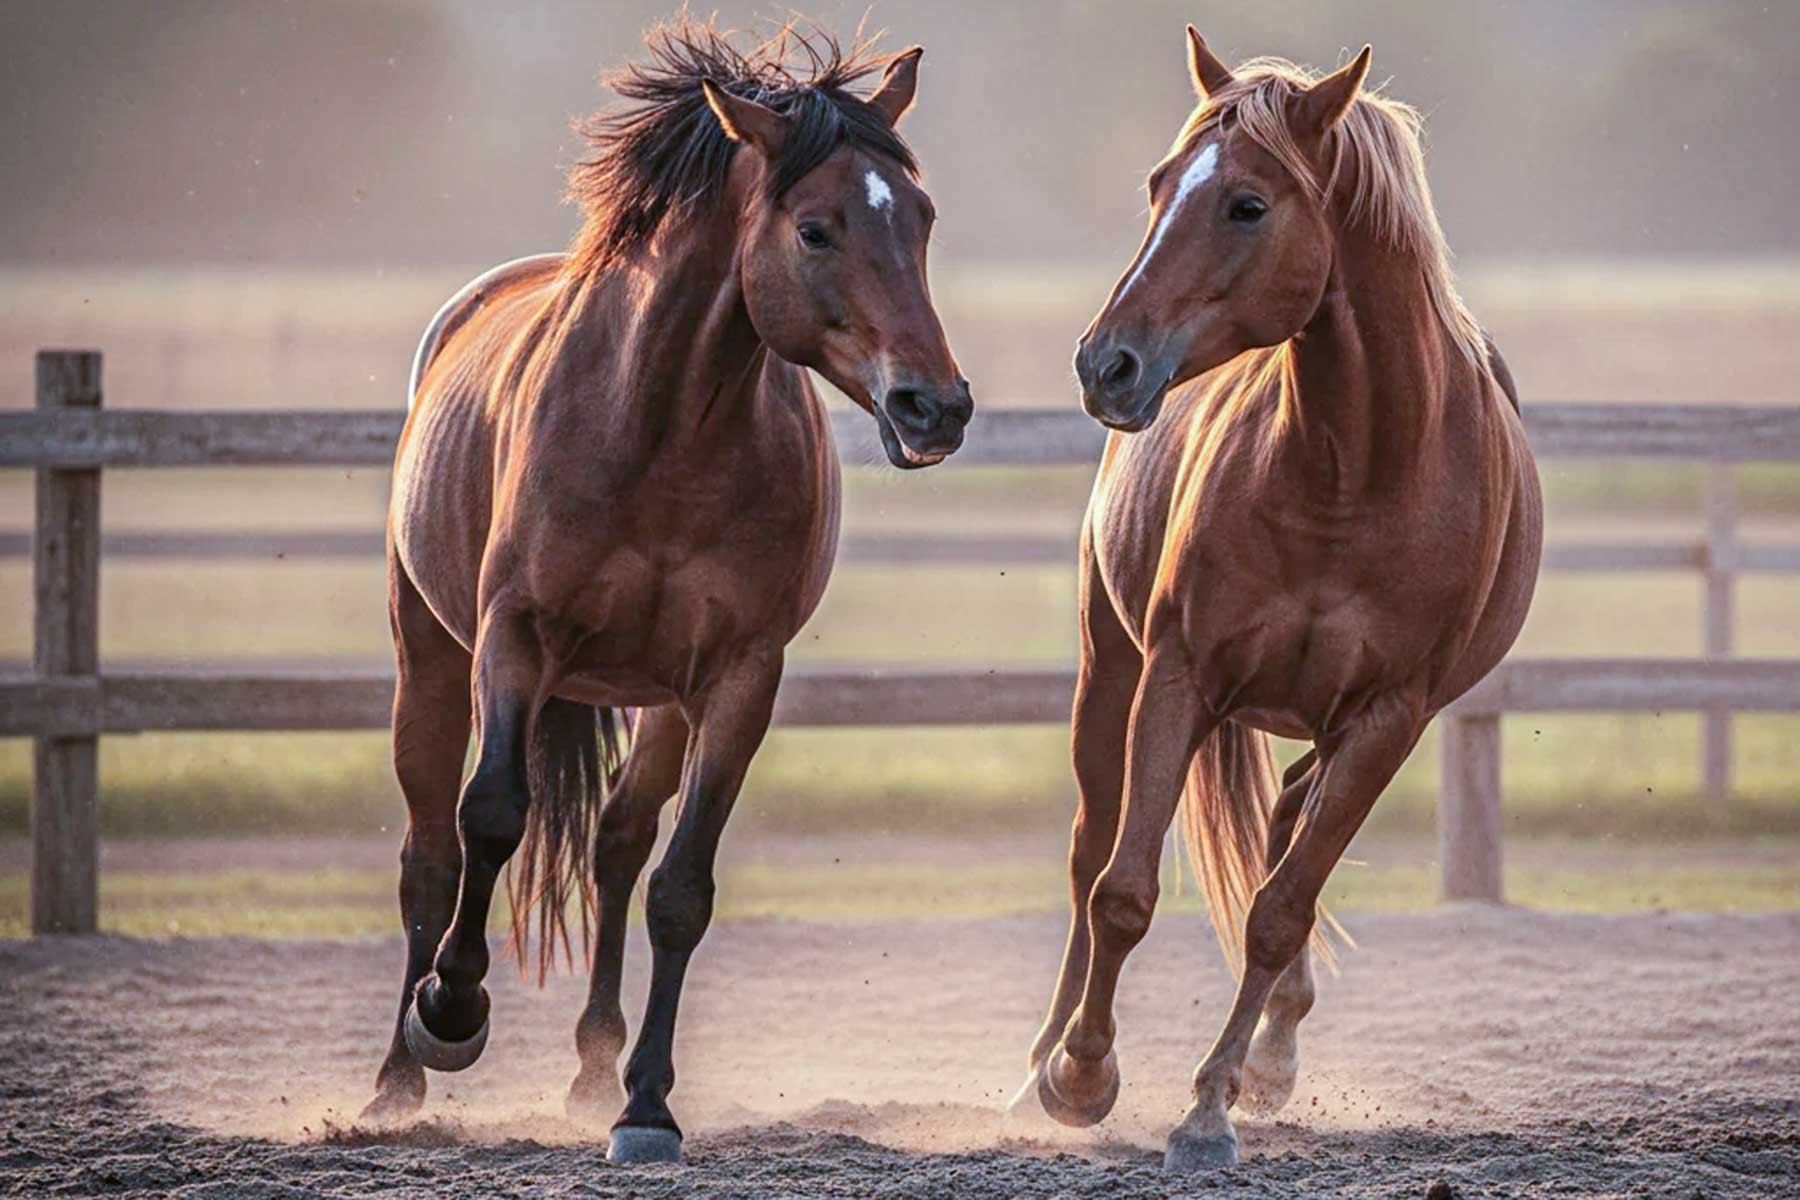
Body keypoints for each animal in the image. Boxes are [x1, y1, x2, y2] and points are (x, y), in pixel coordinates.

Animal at [359, 20, 972, 1164]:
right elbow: (491, 815)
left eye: (920, 219)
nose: (935, 406)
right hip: (431, 660)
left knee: (615, 845)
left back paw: (595, 1070)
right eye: (815, 229)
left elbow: (679, 886)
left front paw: (646, 1104)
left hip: (657, 701)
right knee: (429, 850)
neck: (660, 429)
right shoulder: (515, 640)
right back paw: (396, 1077)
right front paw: (453, 1011)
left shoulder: (736, 679)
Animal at [1012, 30, 1542, 1169]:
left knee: (1287, 830)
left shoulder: (1387, 719)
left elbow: (1280, 908)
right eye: (1160, 183)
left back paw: (1272, 1052)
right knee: (1089, 851)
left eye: (1247, 205)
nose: (1104, 362)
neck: (1356, 470)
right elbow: (1123, 891)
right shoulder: (1177, 676)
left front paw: (1213, 1103)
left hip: (1334, 728)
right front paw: (1083, 1074)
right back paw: (1039, 1064)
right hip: (1108, 673)